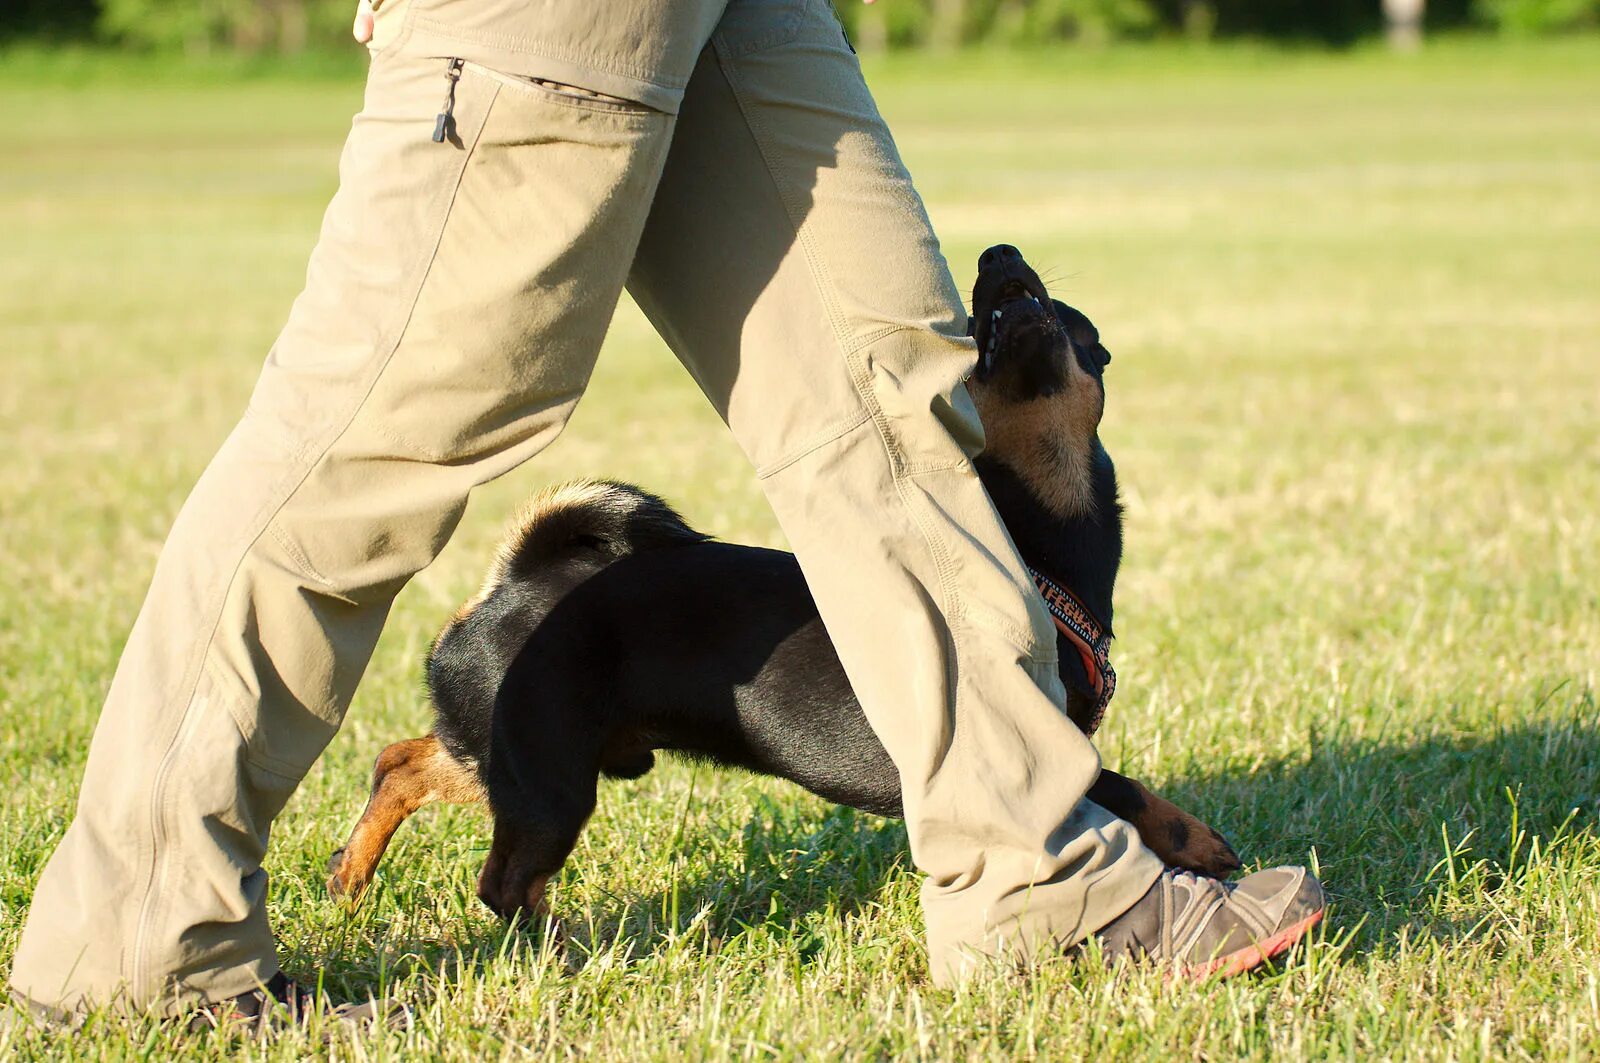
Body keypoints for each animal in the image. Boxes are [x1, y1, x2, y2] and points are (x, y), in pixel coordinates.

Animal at [324, 243, 1241, 922]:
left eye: (1070, 322)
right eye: (972, 331)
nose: (998, 257)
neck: (1032, 536)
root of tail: (515, 582)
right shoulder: (1017, 734)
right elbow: (1115, 782)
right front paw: (1196, 840)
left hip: (512, 753)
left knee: (400, 761)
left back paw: (349, 874)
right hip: (549, 776)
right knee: (502, 880)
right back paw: (561, 940)